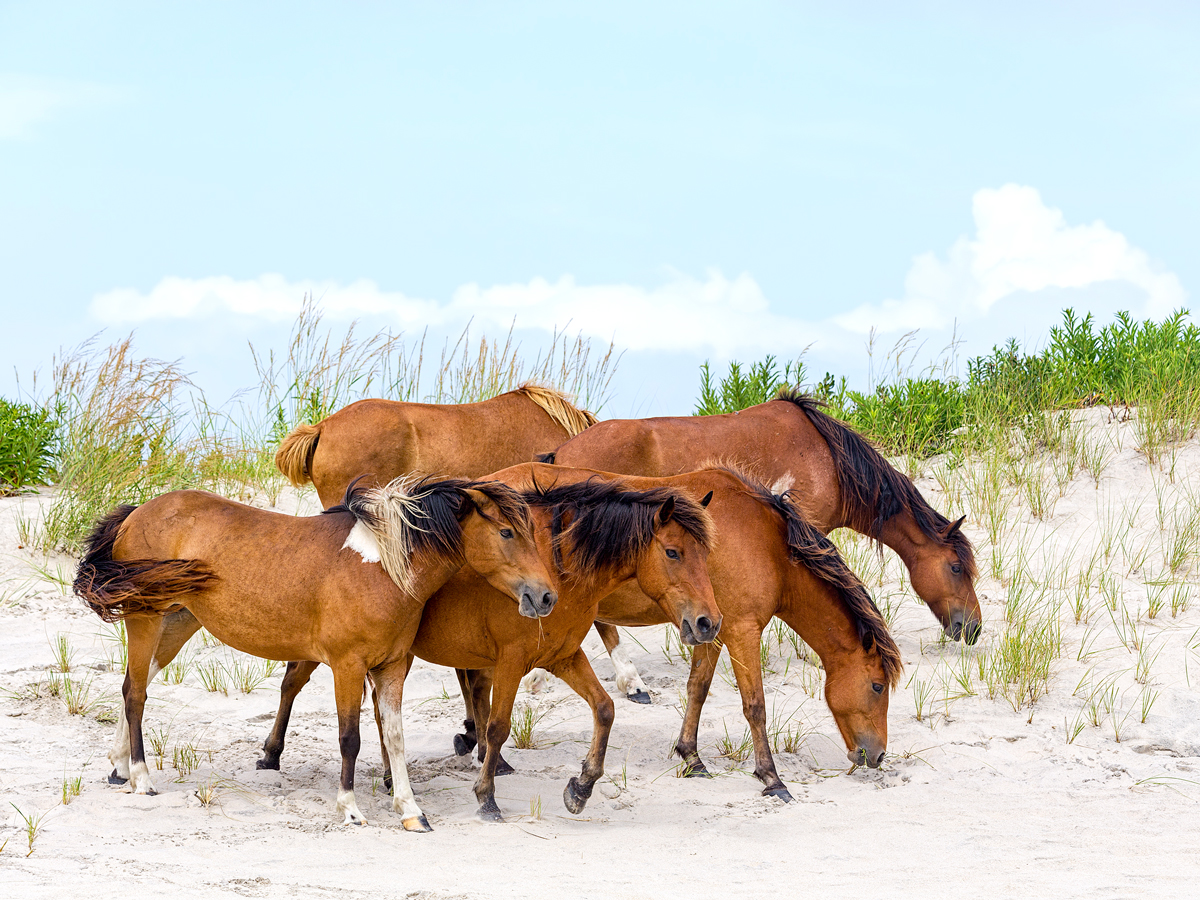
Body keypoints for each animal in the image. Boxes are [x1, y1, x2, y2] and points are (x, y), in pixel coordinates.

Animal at [73, 476, 554, 831]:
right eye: (506, 532)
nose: (545, 596)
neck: (382, 566)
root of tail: (137, 512)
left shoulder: (393, 667)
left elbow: (394, 738)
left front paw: (411, 811)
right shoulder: (347, 666)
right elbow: (350, 738)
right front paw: (351, 808)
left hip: (177, 621)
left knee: (132, 685)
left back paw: (118, 767)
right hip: (145, 619)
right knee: (137, 694)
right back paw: (141, 778)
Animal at [247, 464, 722, 822]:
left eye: (706, 554)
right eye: (673, 552)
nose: (707, 623)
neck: (559, 569)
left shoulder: (564, 657)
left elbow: (604, 709)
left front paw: (581, 787)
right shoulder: (512, 659)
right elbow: (498, 726)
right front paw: (486, 796)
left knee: (382, 711)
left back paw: (390, 776)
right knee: (293, 682)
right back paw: (272, 755)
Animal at [452, 467, 903, 801]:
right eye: (878, 687)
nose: (878, 755)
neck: (766, 541)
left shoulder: (711, 628)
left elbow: (697, 688)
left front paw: (692, 757)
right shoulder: (742, 630)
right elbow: (755, 705)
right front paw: (771, 779)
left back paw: (477, 742)